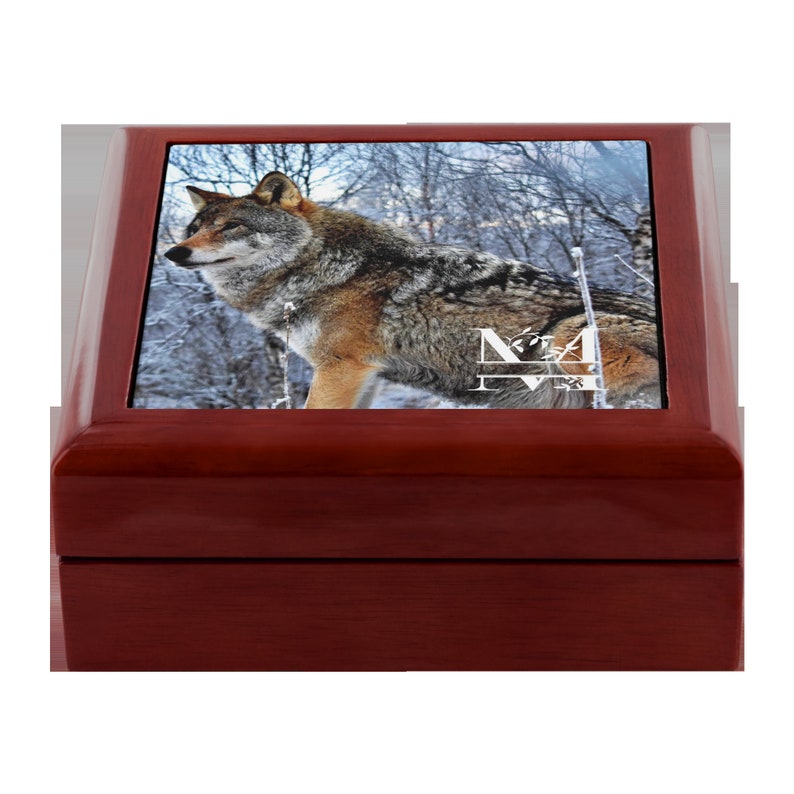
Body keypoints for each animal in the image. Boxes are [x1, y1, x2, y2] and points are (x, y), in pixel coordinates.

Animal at [164, 172, 662, 409]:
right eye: (194, 228)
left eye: (231, 227)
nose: (174, 252)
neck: (323, 267)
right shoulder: (365, 375)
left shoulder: (341, 368)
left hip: (566, 337)